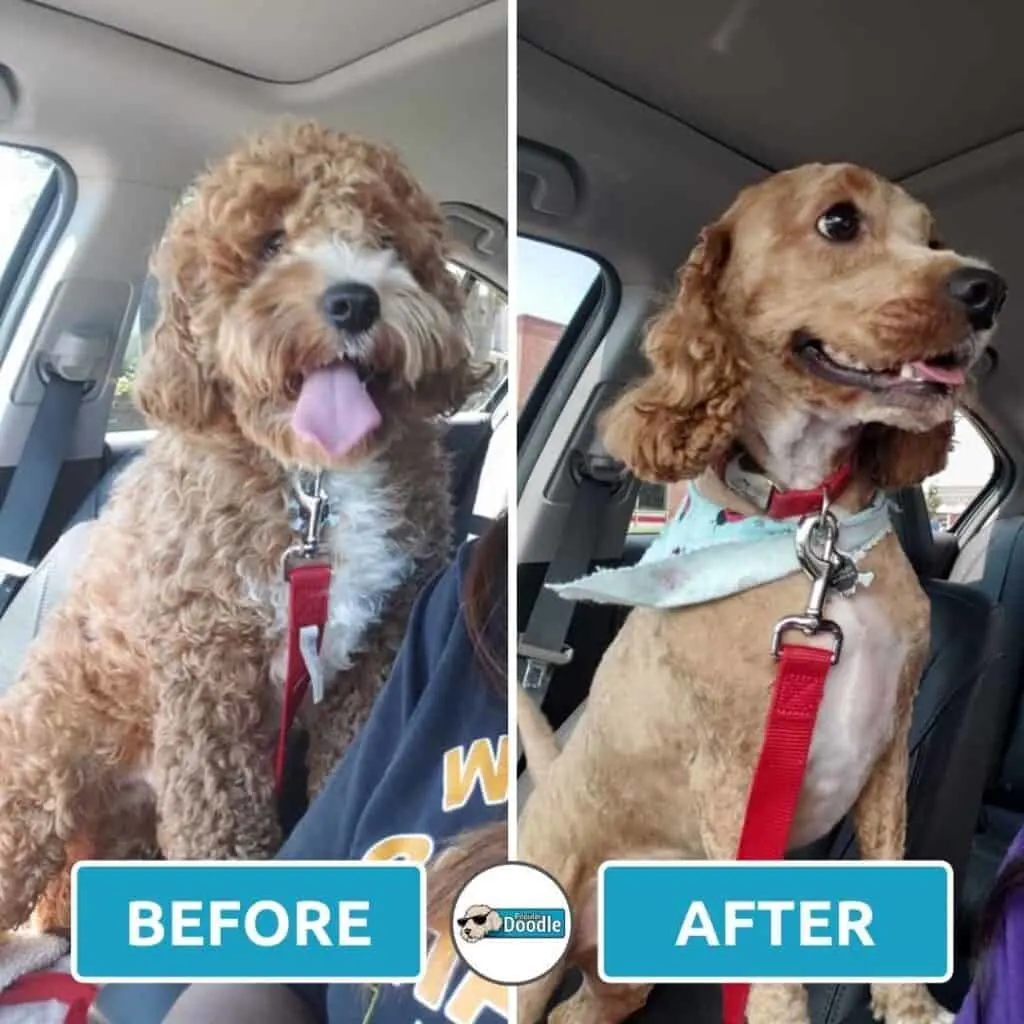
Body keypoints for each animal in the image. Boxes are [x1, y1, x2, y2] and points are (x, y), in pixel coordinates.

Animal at [0, 119, 483, 937]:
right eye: (269, 242)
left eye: (387, 237)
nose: (354, 301)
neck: (315, 486)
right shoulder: (207, 679)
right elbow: (218, 827)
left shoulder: (374, 657)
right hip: (37, 782)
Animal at [507, 163, 1003, 1019]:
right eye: (838, 222)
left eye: (932, 236)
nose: (989, 289)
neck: (812, 529)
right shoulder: (733, 778)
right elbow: (776, 980)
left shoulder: (890, 746)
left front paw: (910, 1009)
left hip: (620, 980)